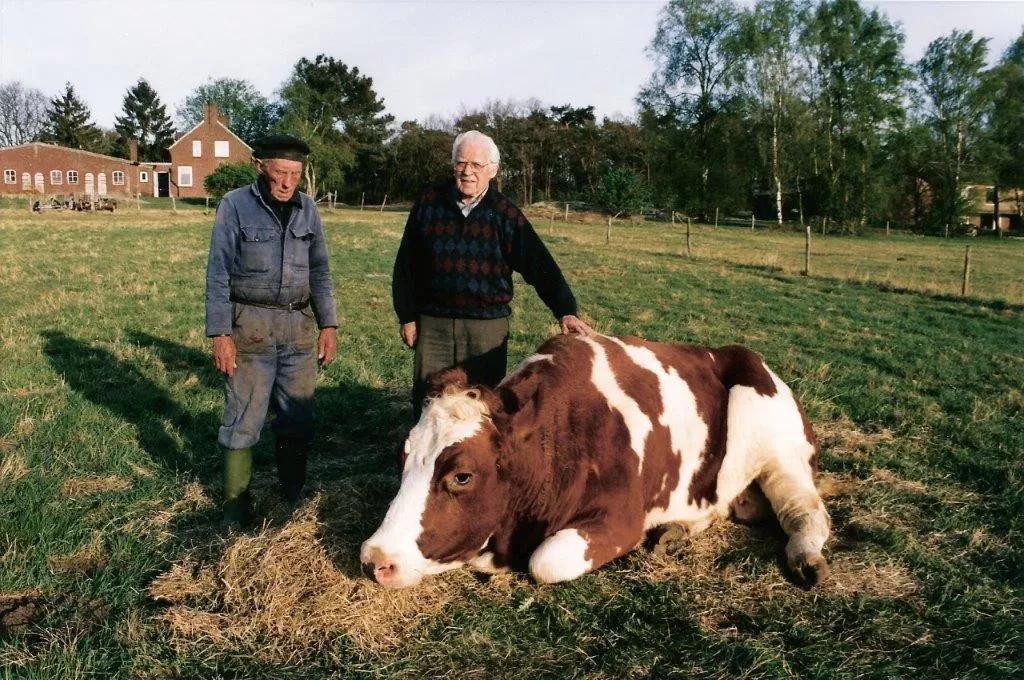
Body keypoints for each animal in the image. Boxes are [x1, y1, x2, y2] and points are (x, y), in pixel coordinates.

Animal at [364, 333, 827, 589]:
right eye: (403, 458)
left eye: (461, 476)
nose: (374, 560)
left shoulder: (621, 519)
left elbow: (546, 561)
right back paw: (676, 530)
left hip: (778, 449)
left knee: (806, 512)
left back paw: (806, 558)